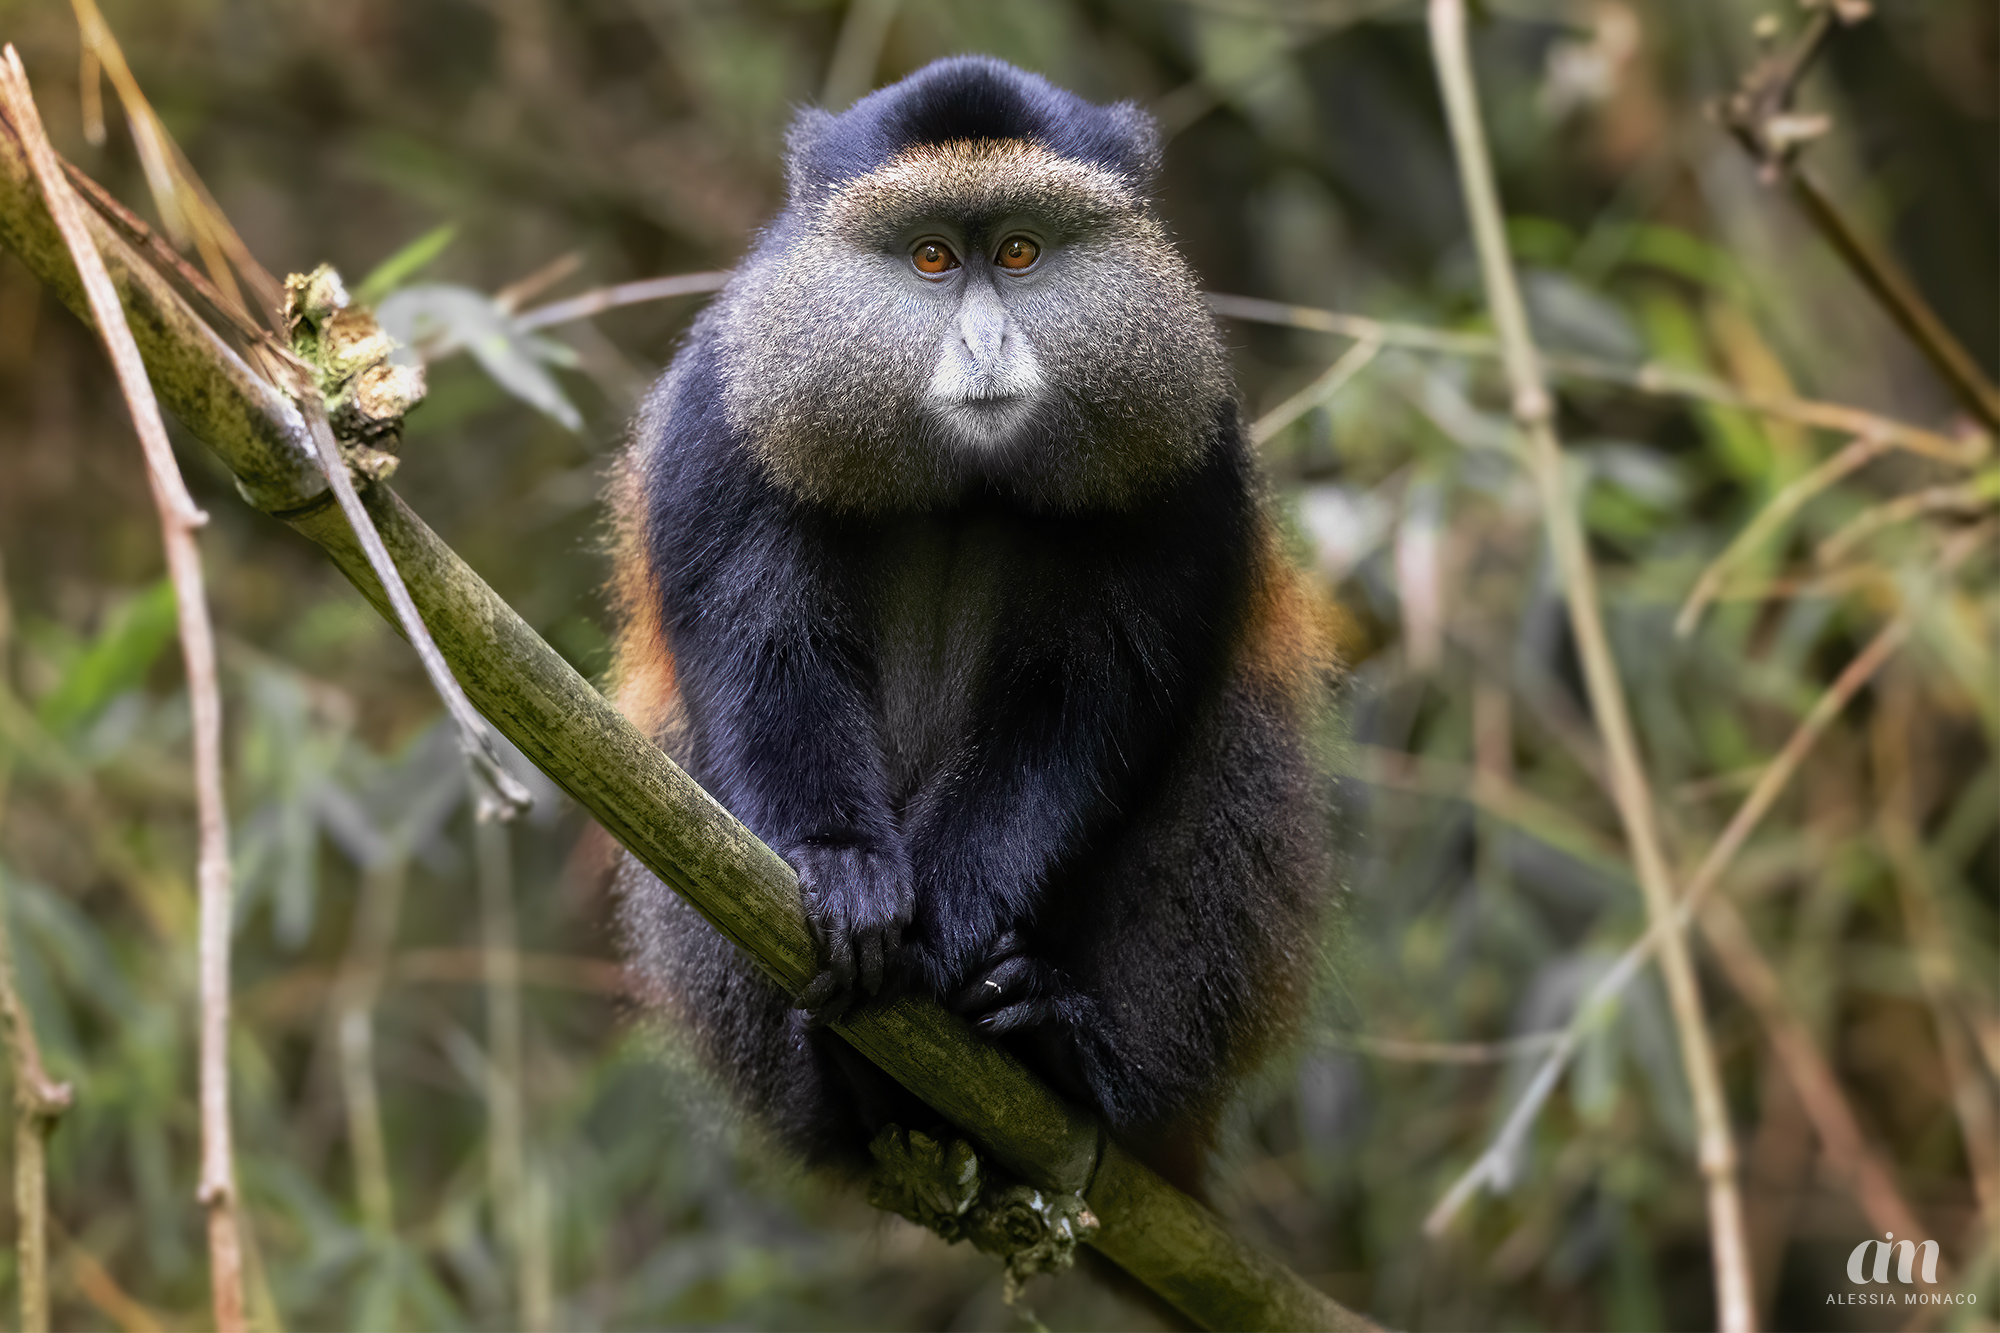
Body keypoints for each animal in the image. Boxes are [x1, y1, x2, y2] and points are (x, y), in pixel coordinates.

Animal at [607, 55, 1335, 1196]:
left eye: (1022, 251)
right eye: (933, 258)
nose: (986, 341)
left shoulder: (1187, 452)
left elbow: (1086, 701)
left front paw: (947, 923)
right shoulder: (723, 418)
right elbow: (762, 654)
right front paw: (845, 870)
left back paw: (1071, 1054)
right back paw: (844, 1085)